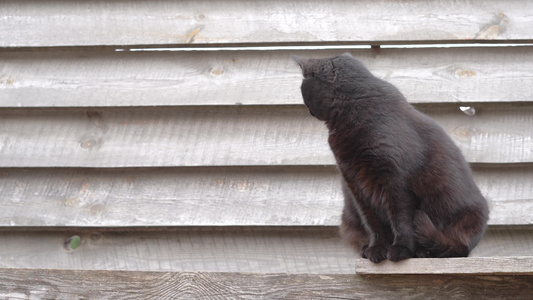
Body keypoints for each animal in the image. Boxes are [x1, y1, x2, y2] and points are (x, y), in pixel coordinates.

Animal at [294, 53, 488, 262]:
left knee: (457, 248)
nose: (308, 110)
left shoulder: (395, 182)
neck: (354, 106)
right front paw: (377, 249)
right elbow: (374, 224)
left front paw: (401, 249)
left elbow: (401, 218)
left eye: (304, 92)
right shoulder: (356, 185)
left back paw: (424, 252)